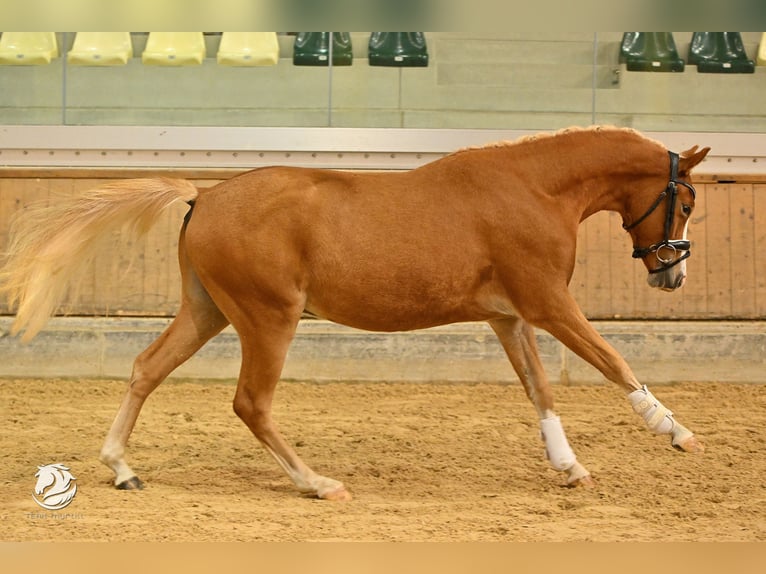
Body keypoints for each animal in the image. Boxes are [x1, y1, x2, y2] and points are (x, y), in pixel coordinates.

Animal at [0, 127, 712, 504]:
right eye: (686, 201)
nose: (672, 273)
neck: (533, 190)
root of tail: (204, 194)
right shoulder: (548, 303)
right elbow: (613, 361)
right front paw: (676, 432)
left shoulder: (510, 317)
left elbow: (540, 390)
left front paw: (569, 467)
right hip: (269, 317)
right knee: (251, 402)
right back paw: (318, 483)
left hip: (208, 312)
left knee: (147, 368)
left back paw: (122, 468)